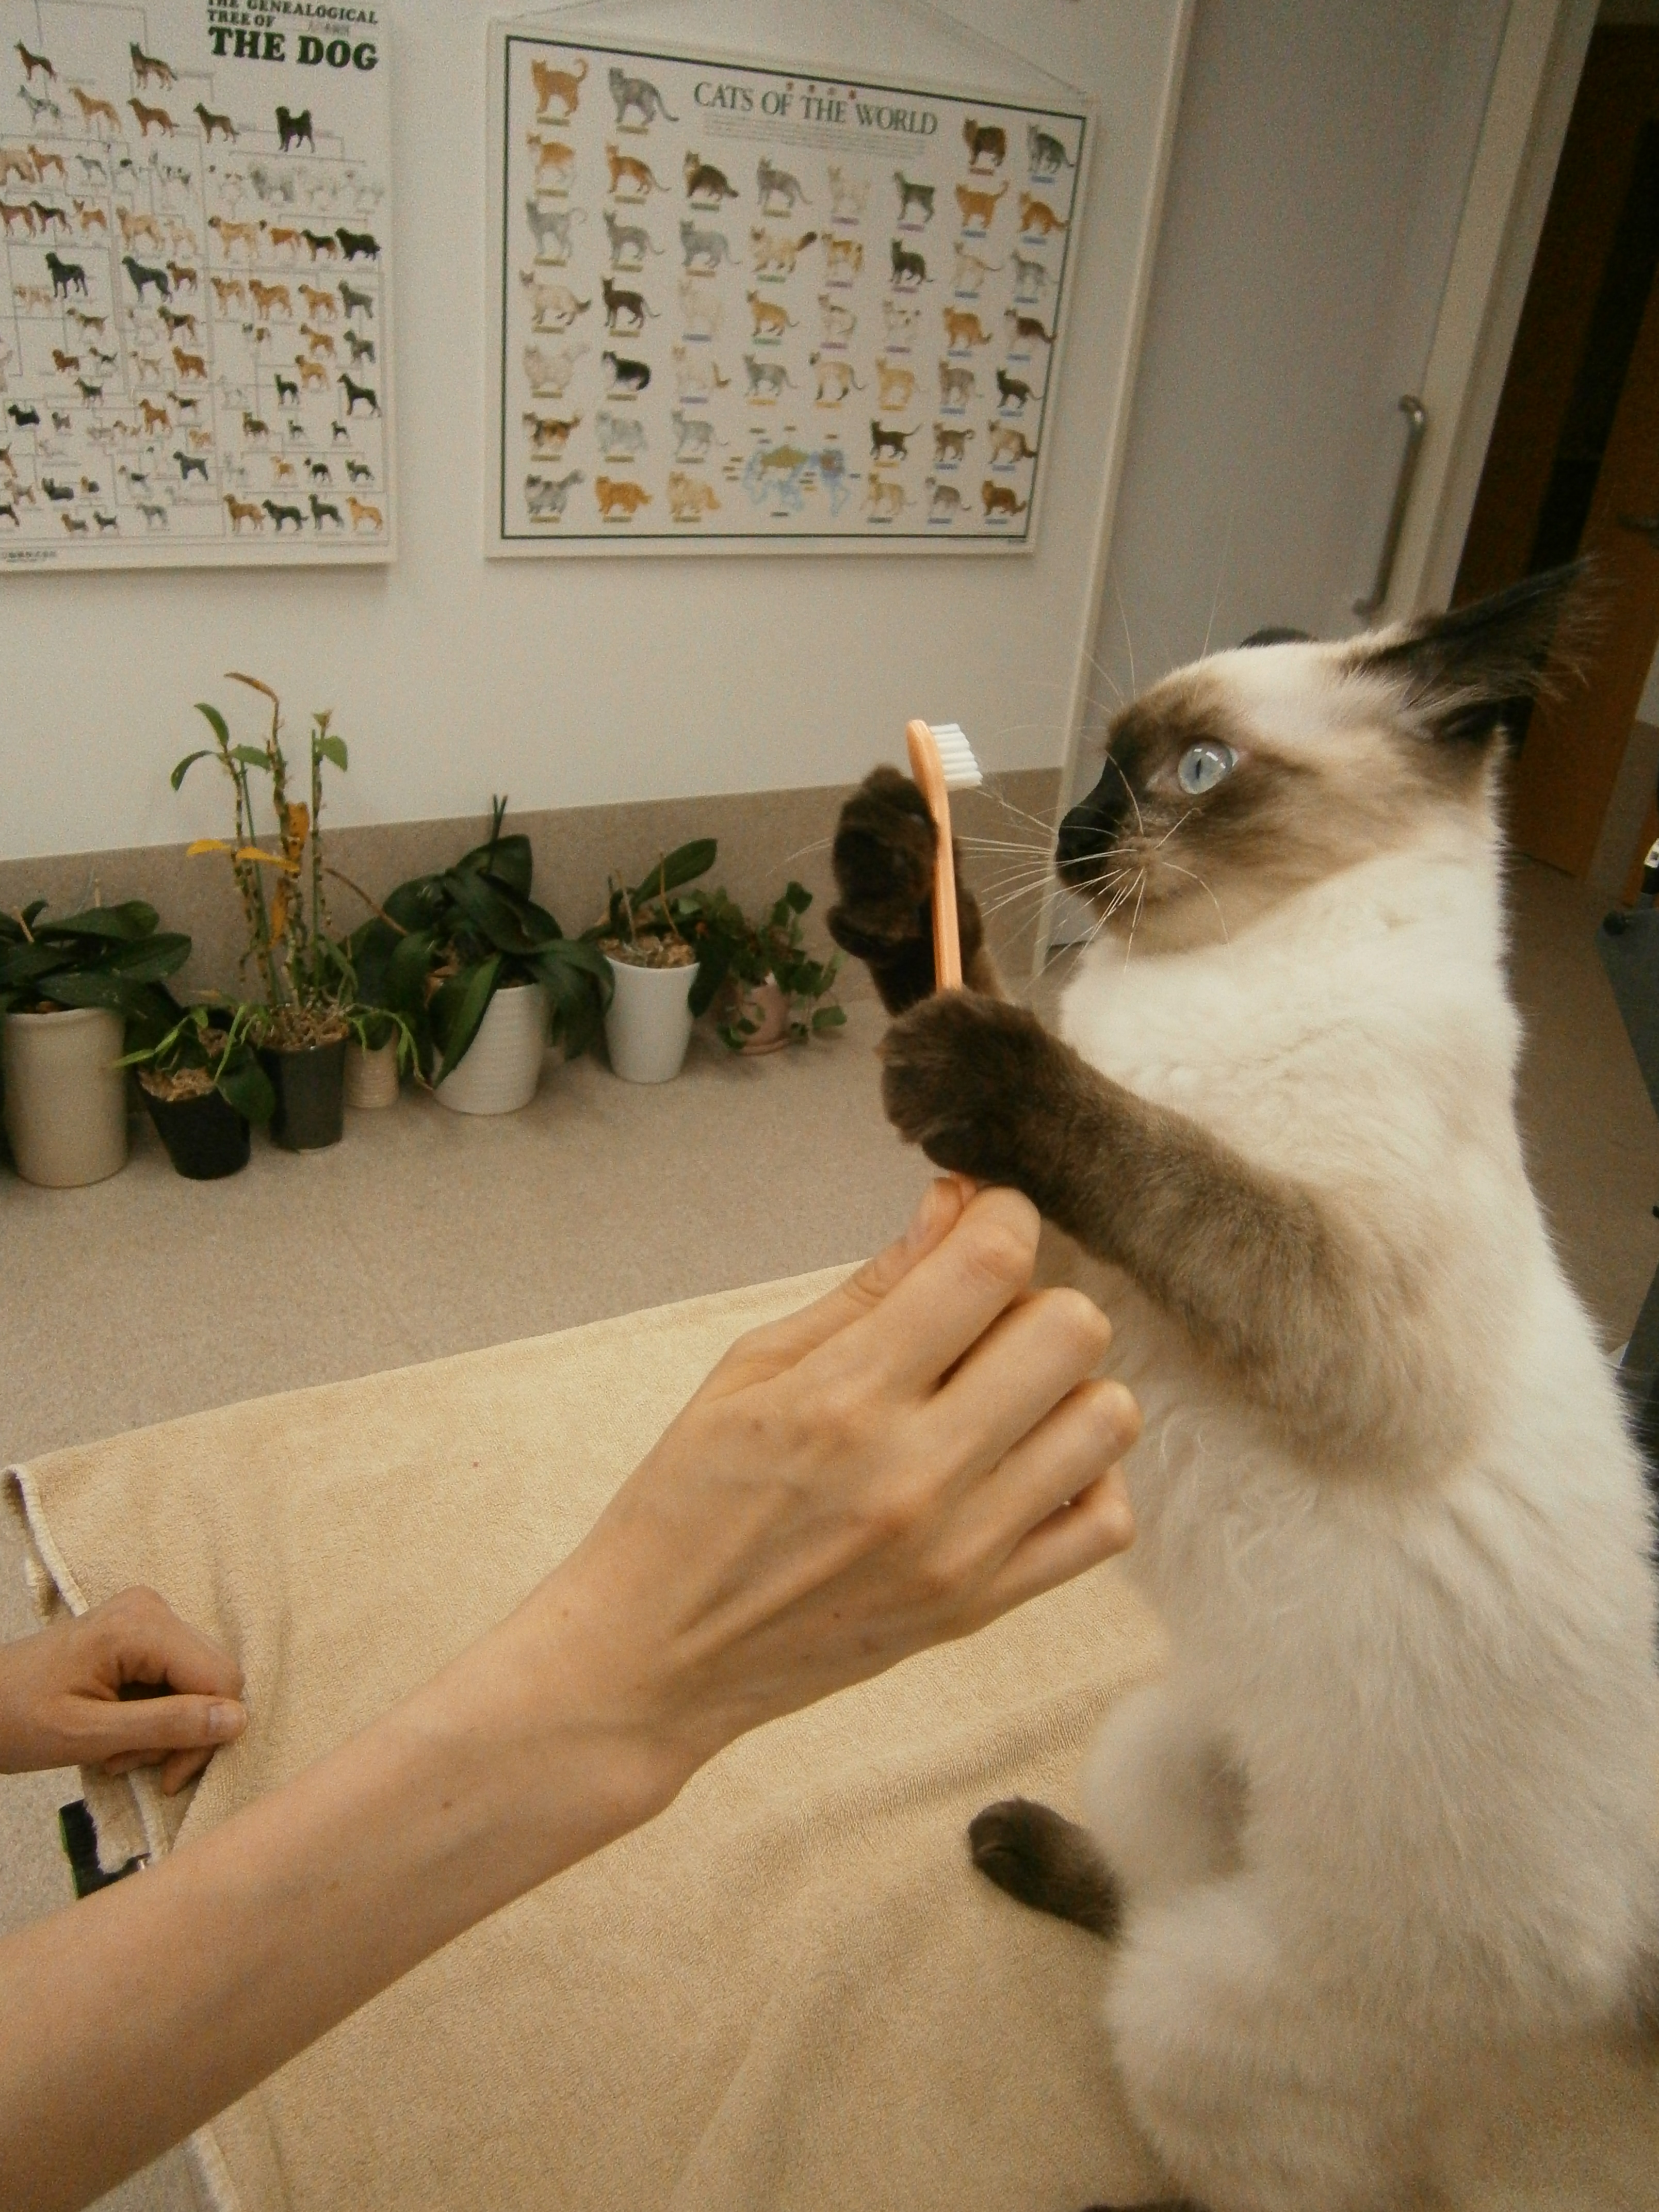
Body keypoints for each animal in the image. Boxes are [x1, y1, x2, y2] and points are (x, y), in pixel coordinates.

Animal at [836, 575, 1659, 2212]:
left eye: (1198, 774)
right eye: (1104, 763)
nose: (1075, 829)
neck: (1208, 972)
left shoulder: (1321, 1303)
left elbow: (1148, 1149)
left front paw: (977, 1058)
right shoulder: (1062, 1279)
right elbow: (979, 984)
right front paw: (901, 872)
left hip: (1205, 2016)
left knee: (1276, 2162)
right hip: (1156, 1750)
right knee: (1144, 1895)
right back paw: (1013, 1844)